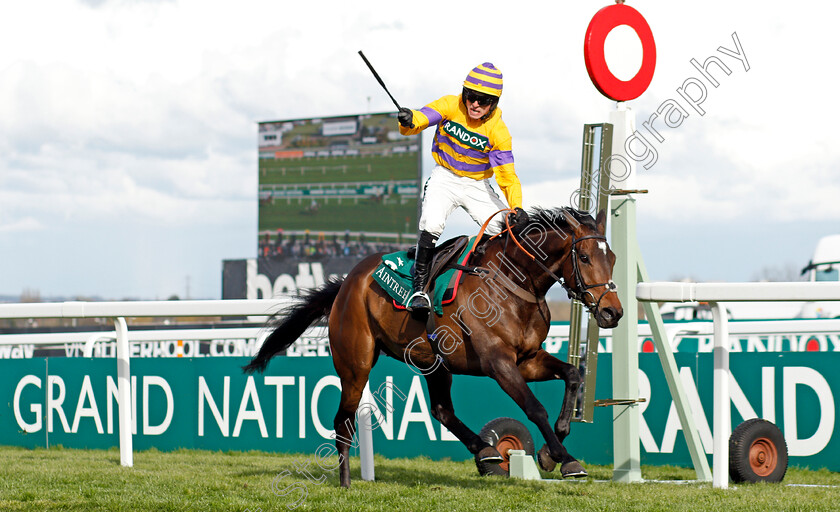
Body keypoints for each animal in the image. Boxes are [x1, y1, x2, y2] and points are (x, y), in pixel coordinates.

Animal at [243, 207, 624, 488]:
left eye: (614, 258)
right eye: (585, 257)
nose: (613, 312)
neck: (511, 282)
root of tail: (347, 283)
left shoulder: (527, 360)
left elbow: (572, 374)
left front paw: (548, 451)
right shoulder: (498, 363)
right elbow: (534, 408)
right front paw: (567, 460)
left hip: (434, 364)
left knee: (442, 411)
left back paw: (486, 452)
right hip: (355, 365)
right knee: (343, 421)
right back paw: (346, 481)